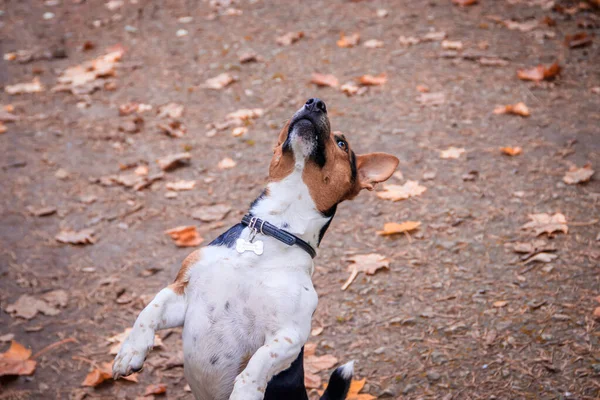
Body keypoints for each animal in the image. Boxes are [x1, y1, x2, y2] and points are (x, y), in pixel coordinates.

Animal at [112, 97, 398, 400]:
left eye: (342, 143)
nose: (315, 102)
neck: (271, 231)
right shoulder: (181, 293)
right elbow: (149, 311)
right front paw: (130, 352)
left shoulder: (290, 333)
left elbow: (260, 361)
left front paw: (246, 391)